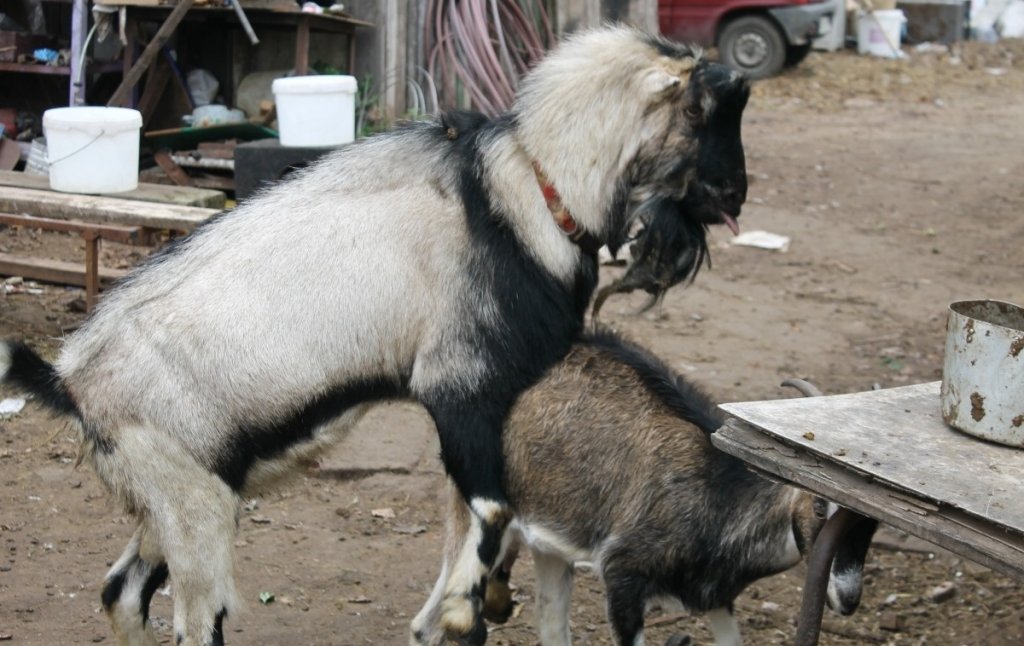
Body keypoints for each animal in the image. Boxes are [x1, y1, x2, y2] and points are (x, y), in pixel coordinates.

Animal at [0, 26, 753, 646]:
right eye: (705, 109)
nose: (737, 195)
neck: (527, 194)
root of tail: (71, 380)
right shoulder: (460, 388)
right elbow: (491, 508)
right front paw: (463, 612)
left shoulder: (493, 402)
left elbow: (484, 514)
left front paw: (483, 600)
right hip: (192, 505)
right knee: (194, 619)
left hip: (172, 497)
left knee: (122, 593)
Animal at [411, 333, 876, 646]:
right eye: (819, 506)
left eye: (871, 525)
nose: (848, 598)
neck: (717, 489)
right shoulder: (624, 578)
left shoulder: (716, 598)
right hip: (477, 523)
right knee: (427, 624)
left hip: (550, 547)